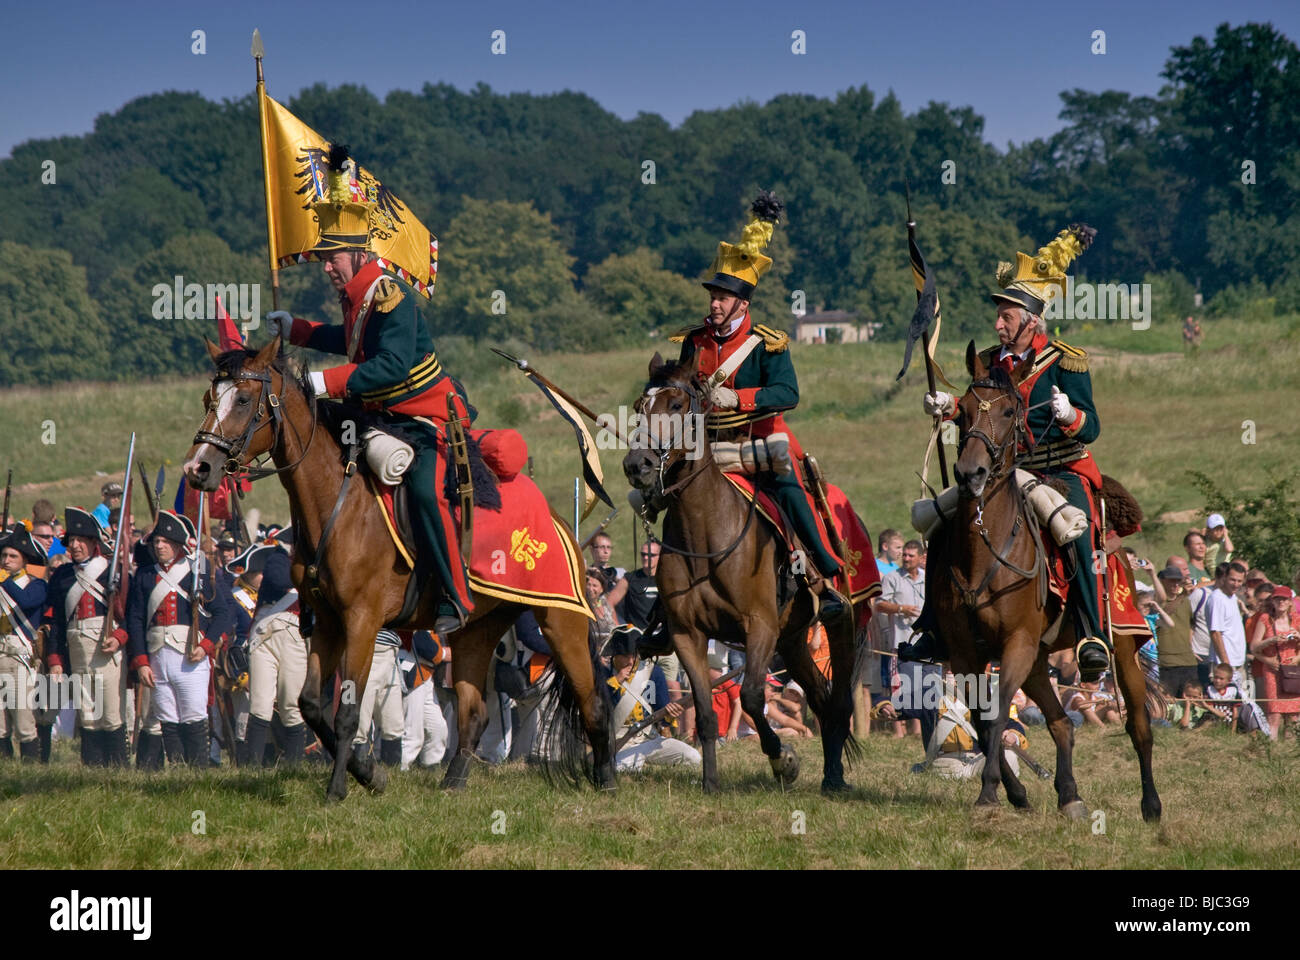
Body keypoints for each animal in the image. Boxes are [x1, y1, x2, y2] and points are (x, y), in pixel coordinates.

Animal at [179, 335, 618, 801]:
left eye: (244, 399)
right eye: (209, 399)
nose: (197, 468)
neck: (338, 502)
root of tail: (557, 520)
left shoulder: (362, 621)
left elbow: (348, 712)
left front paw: (339, 788)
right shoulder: (328, 621)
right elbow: (312, 704)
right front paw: (369, 772)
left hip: (559, 619)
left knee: (592, 700)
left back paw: (606, 778)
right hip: (474, 631)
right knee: (473, 713)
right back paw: (453, 784)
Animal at [621, 351, 863, 790]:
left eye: (677, 405)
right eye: (638, 407)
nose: (638, 465)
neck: (704, 534)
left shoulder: (759, 626)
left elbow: (751, 695)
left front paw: (784, 759)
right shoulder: (687, 635)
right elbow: (703, 711)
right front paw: (711, 783)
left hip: (842, 624)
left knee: (838, 700)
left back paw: (834, 778)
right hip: (793, 640)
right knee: (820, 697)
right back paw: (830, 772)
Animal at [935, 343, 1159, 822]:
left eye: (1008, 412)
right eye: (962, 411)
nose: (969, 475)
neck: (985, 550)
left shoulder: (1016, 644)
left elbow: (1000, 711)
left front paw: (989, 792)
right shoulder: (964, 654)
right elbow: (982, 720)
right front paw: (1014, 792)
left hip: (1122, 646)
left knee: (1138, 725)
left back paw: (1151, 805)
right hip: (1040, 662)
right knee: (1060, 723)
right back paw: (1069, 795)